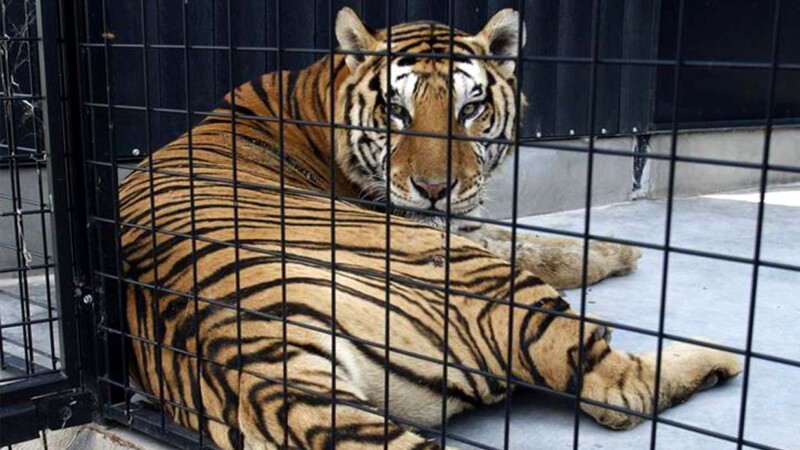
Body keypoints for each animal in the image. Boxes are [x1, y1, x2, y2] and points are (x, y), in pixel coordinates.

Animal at [118, 8, 742, 450]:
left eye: (470, 110)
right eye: (395, 111)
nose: (434, 190)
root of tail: (255, 365)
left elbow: (525, 236)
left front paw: (616, 249)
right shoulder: (456, 236)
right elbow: (530, 246)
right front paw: (620, 254)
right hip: (490, 286)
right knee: (616, 392)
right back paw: (718, 357)